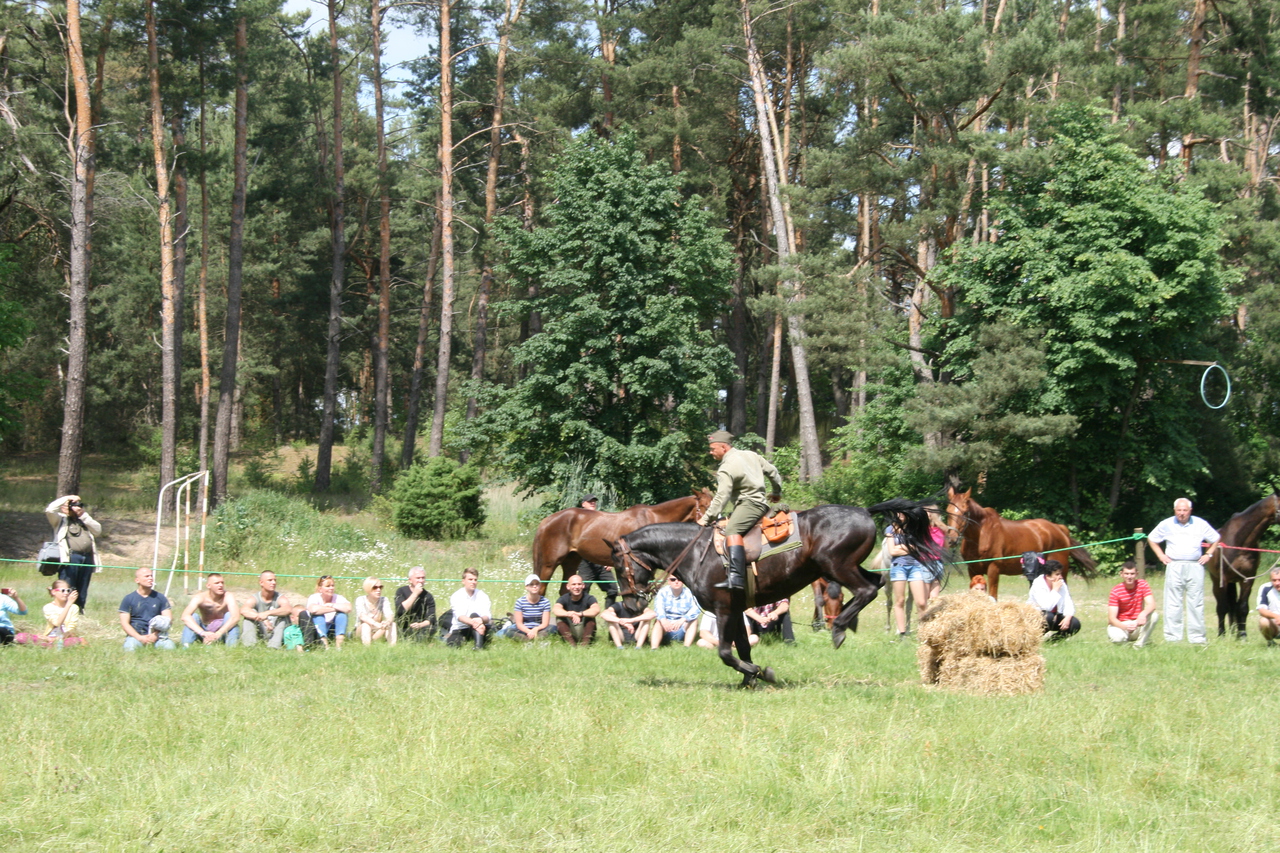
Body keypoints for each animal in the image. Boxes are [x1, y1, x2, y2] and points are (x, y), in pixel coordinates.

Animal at [527, 484, 711, 591]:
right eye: (704, 505)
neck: (653, 519)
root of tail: (547, 521)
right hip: (549, 564)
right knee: (541, 589)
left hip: (571, 561)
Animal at [609, 502, 880, 686]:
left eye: (620, 568)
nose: (631, 605)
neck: (696, 553)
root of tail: (865, 512)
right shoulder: (737, 610)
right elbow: (743, 648)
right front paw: (751, 678)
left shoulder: (724, 610)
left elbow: (726, 653)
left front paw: (756, 672)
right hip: (844, 567)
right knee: (877, 582)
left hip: (836, 566)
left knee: (867, 590)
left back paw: (840, 627)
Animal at [947, 484, 1095, 596]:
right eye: (948, 511)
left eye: (965, 512)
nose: (952, 539)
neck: (981, 536)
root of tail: (1059, 528)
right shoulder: (973, 570)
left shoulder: (993, 569)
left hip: (1060, 571)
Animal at [1208, 489, 1280, 635]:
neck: (1240, 543)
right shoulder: (1223, 579)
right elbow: (1222, 607)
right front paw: (1221, 634)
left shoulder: (1247, 579)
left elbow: (1242, 607)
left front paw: (1242, 635)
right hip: (1216, 581)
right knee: (1222, 605)